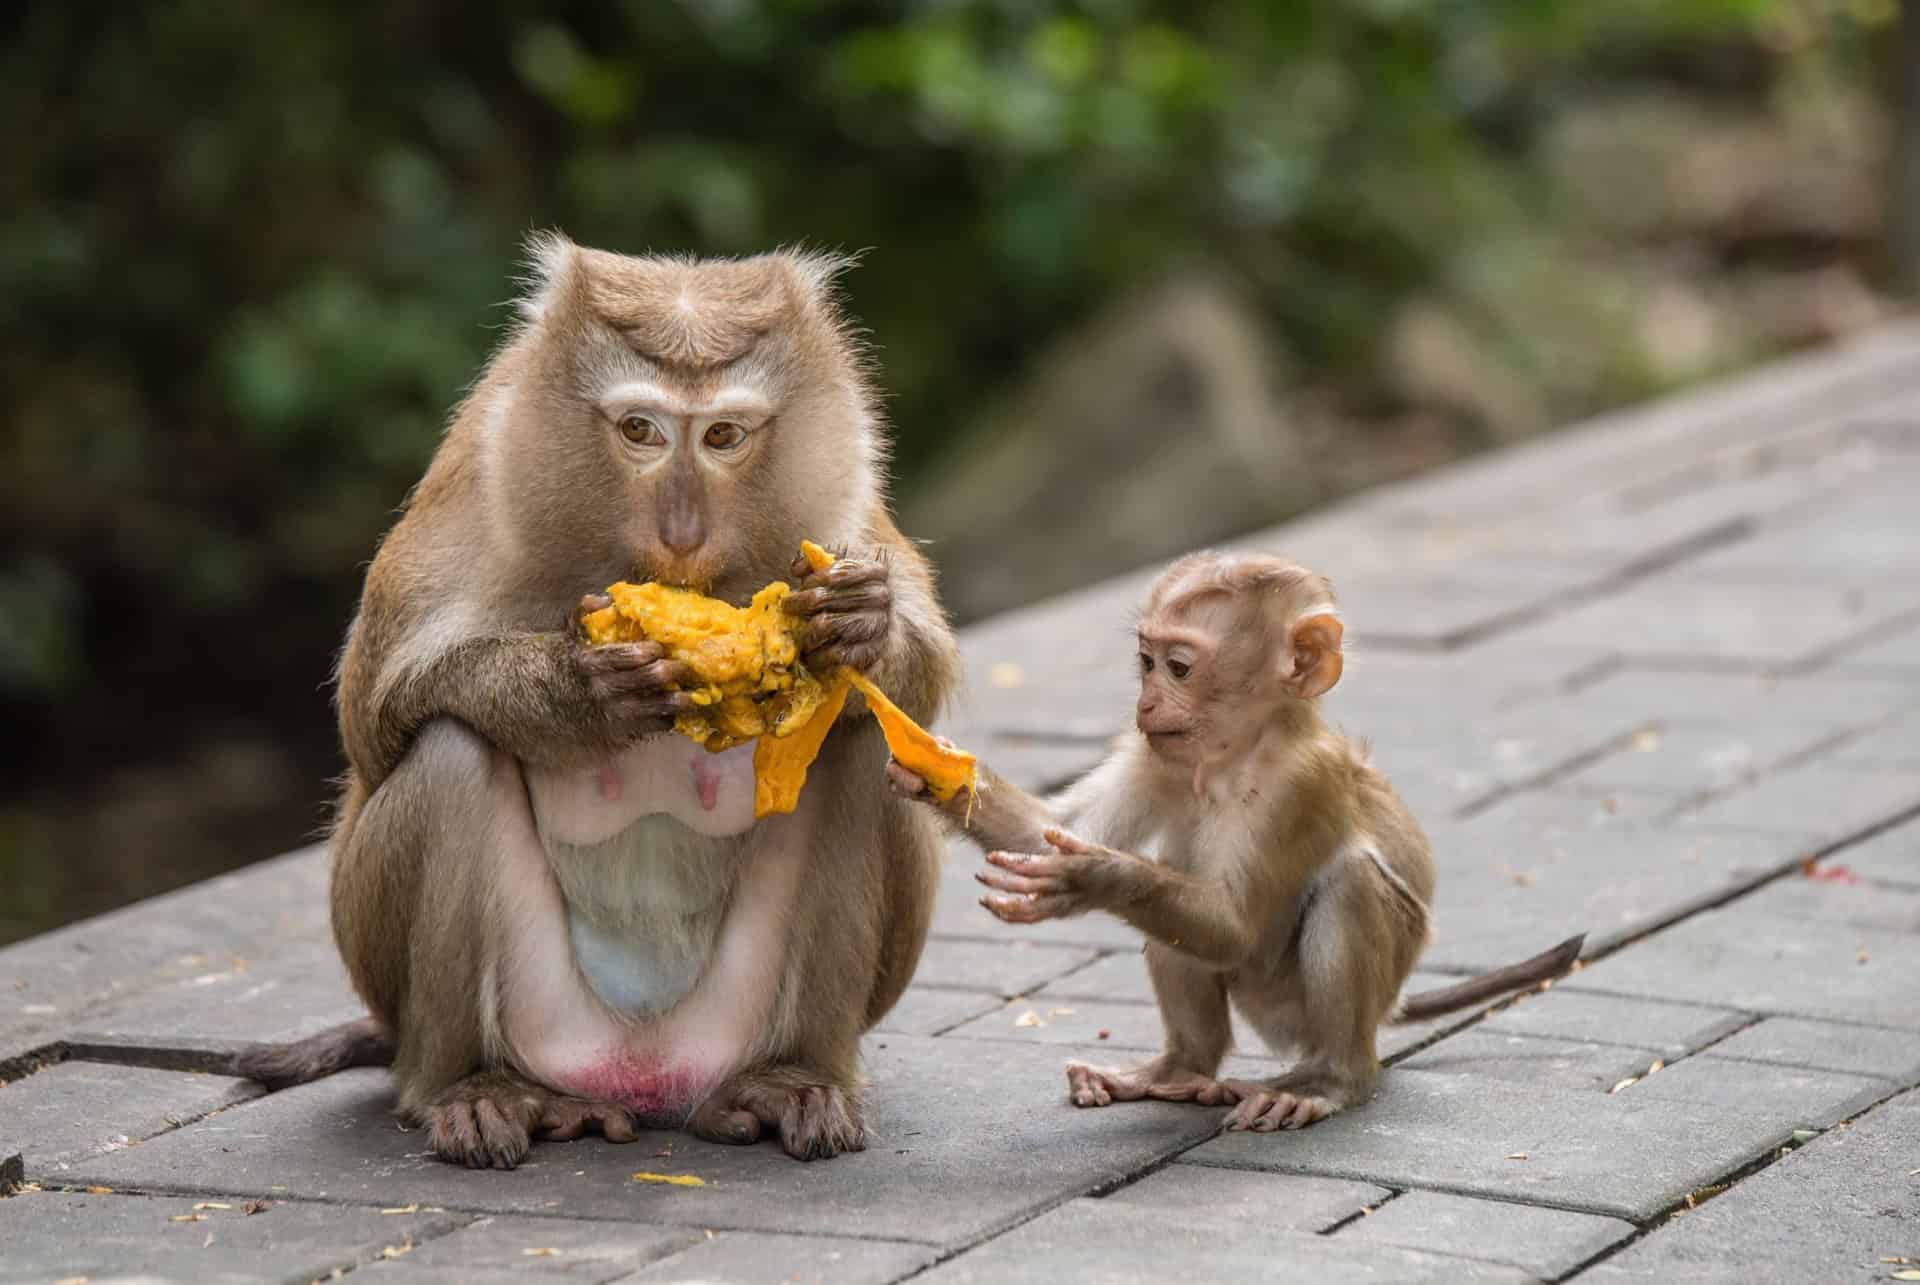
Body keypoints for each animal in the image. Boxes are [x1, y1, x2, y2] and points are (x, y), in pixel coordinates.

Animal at [232, 235, 961, 1168]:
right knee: (452, 751)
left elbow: (914, 683)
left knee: (859, 747)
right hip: (515, 1014)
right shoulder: (482, 472)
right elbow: (374, 713)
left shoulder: (838, 500)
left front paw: (863, 621)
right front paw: (577, 692)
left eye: (723, 435)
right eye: (639, 431)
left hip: (730, 1022)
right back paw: (472, 1089)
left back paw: (789, 1077)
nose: (682, 531)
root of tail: (641, 1075)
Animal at [887, 551, 1582, 1132]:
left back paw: (1331, 1080)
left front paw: (1093, 877)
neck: (1231, 759)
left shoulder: (1298, 784)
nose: (1145, 704)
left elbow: (1233, 925)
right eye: (1145, 663)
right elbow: (1046, 833)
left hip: (1295, 1002)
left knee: (1350, 886)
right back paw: (1177, 1070)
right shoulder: (1155, 755)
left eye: (1179, 667)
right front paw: (934, 772)